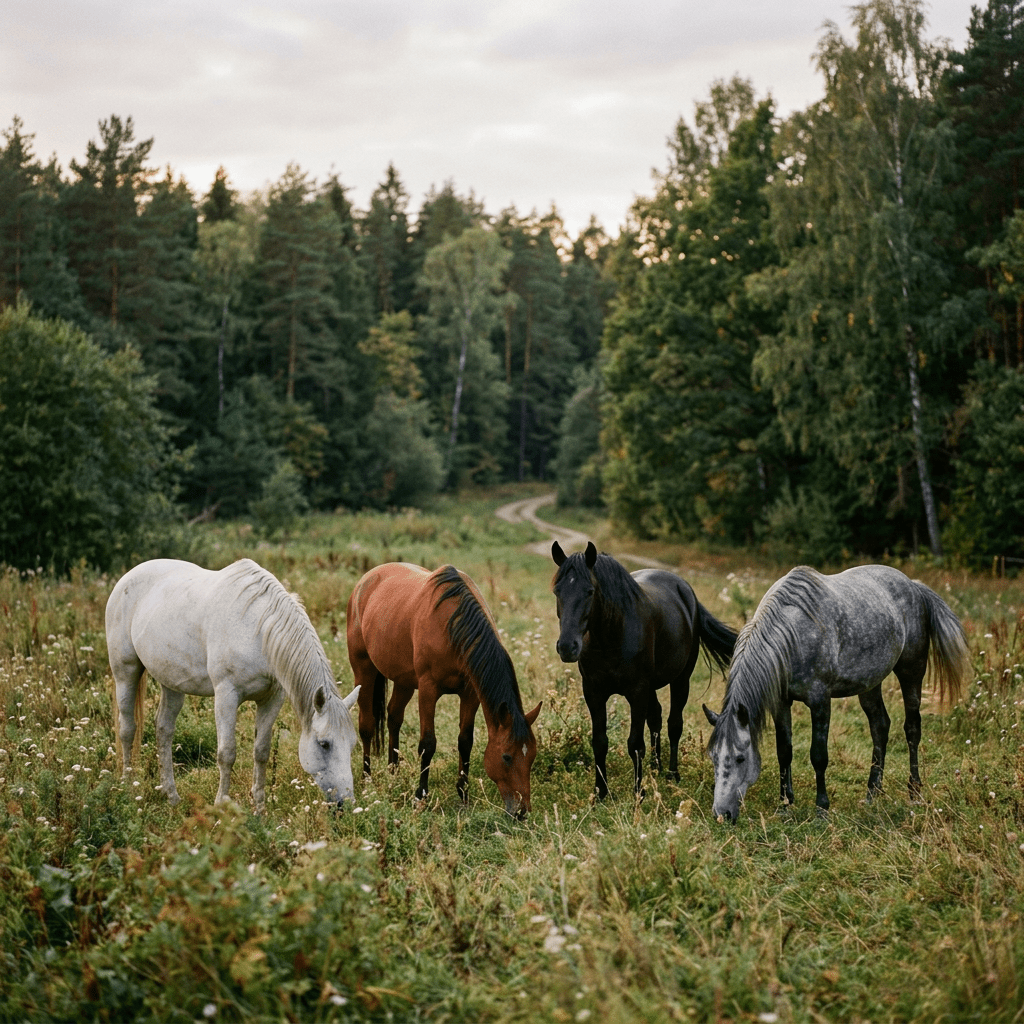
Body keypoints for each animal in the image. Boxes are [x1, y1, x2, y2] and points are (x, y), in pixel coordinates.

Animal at [105, 558, 361, 812]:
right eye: (324, 744)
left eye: (352, 744)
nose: (346, 804)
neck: (258, 632)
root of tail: (127, 578)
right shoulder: (226, 696)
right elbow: (227, 753)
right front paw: (222, 805)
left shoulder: (271, 699)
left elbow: (261, 752)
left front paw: (260, 810)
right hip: (125, 672)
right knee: (127, 729)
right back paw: (128, 788)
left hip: (172, 683)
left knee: (163, 730)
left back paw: (172, 796)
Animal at [346, 562, 542, 818]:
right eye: (506, 757)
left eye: (532, 756)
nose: (521, 811)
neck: (453, 626)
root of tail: (365, 579)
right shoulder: (428, 689)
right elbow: (428, 744)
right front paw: (420, 797)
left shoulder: (470, 694)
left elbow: (465, 742)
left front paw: (464, 796)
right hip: (364, 670)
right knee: (367, 726)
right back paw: (367, 780)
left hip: (404, 681)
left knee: (394, 717)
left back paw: (393, 772)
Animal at [551, 541, 738, 799]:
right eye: (557, 592)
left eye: (589, 591)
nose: (567, 647)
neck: (612, 637)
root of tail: (686, 591)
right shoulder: (594, 692)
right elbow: (600, 741)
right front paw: (601, 792)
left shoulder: (637, 692)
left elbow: (635, 744)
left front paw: (639, 792)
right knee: (656, 718)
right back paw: (655, 767)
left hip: (681, 680)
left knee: (673, 724)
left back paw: (671, 774)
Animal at [703, 564, 970, 822]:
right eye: (713, 757)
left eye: (740, 758)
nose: (721, 814)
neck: (792, 638)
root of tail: (914, 586)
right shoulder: (781, 702)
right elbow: (784, 752)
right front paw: (785, 805)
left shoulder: (820, 702)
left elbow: (818, 755)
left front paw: (822, 809)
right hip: (870, 684)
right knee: (880, 727)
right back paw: (872, 793)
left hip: (911, 671)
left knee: (912, 728)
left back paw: (914, 793)